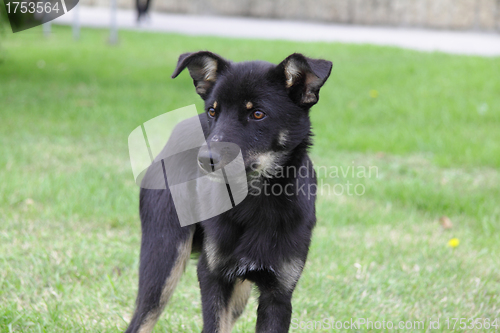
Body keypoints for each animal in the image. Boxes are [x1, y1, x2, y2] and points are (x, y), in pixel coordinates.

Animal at [125, 50, 332, 330]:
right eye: (213, 111)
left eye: (258, 114)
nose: (205, 159)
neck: (255, 200)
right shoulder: (213, 277)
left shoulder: (279, 293)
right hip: (163, 258)